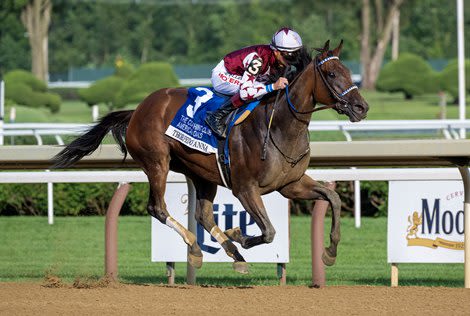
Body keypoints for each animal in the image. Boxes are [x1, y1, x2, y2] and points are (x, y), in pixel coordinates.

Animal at [51, 40, 368, 274]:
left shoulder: (290, 184)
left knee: (201, 214)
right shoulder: (245, 188)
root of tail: (138, 109)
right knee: (158, 207)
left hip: (201, 172)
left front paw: (329, 252)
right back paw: (196, 247)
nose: (361, 107)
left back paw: (232, 255)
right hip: (157, 163)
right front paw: (240, 233)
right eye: (331, 74)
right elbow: (268, 231)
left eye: (348, 72)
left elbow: (333, 198)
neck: (279, 126)